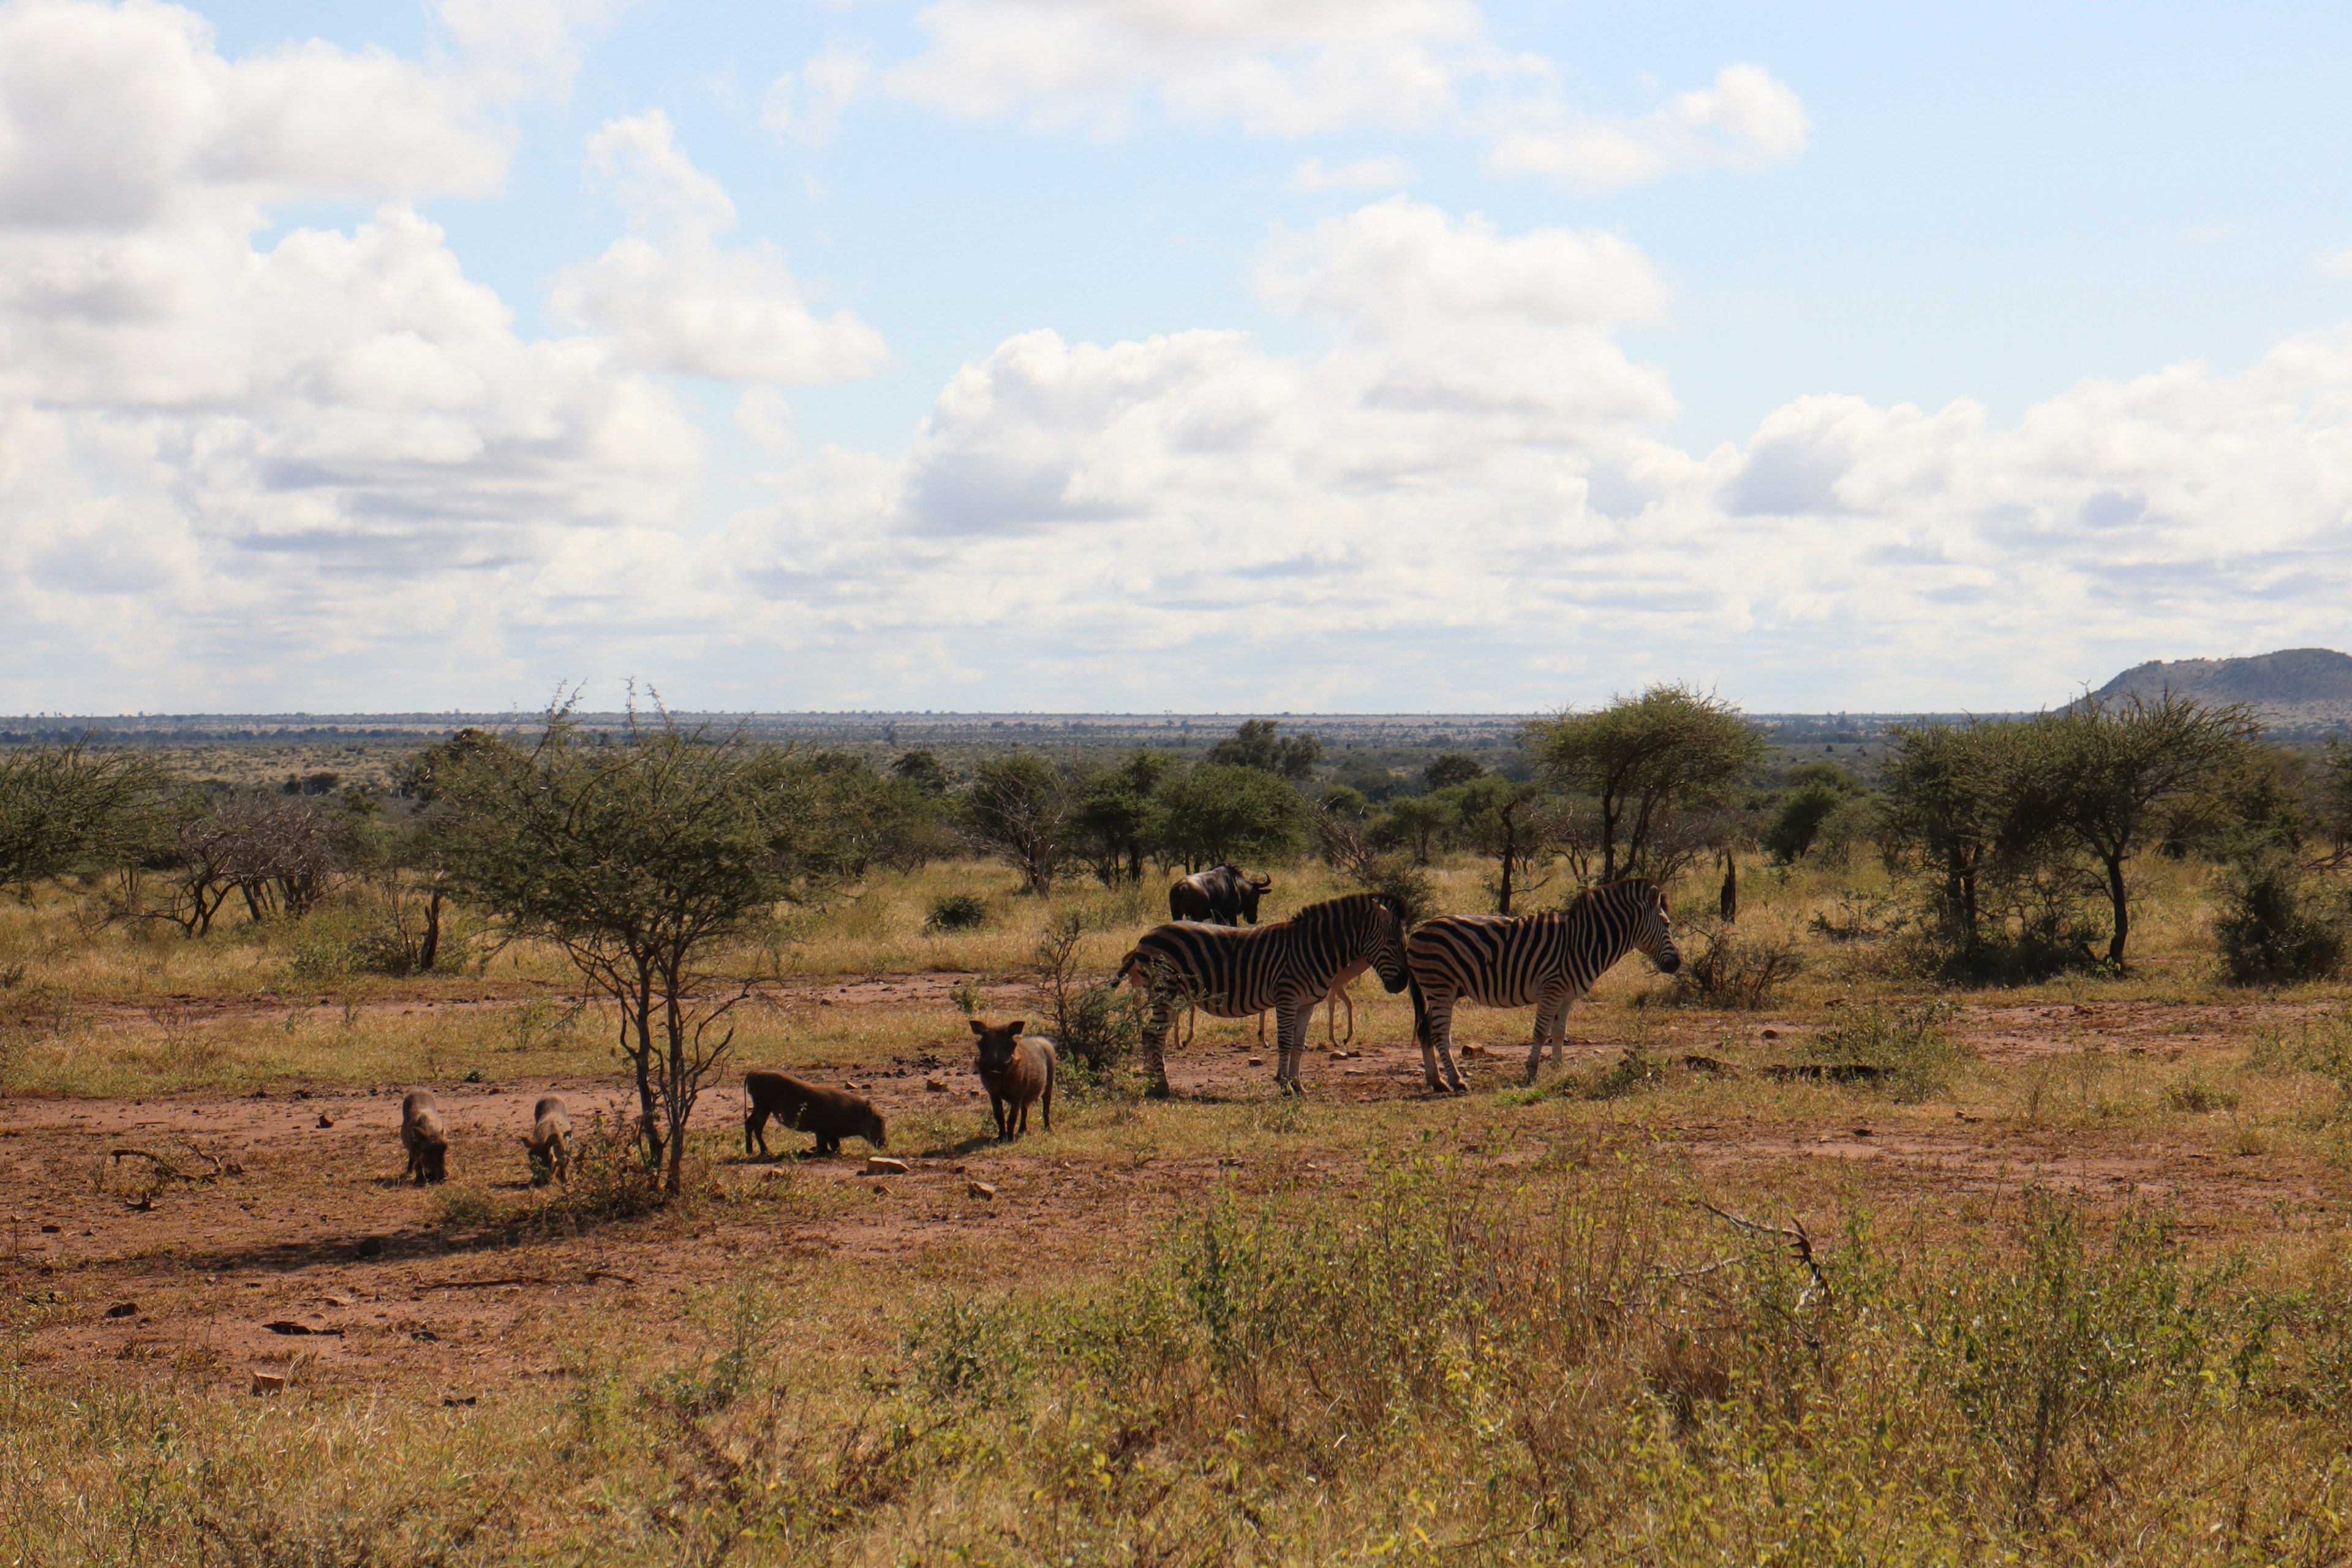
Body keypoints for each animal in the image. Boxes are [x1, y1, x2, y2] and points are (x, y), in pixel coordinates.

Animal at [1124, 888, 1401, 1100]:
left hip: (1175, 995)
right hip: (1165, 990)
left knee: (1153, 1033)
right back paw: (1160, 1087)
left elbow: (1299, 1044)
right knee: (1153, 1034)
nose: (1400, 986)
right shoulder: (1287, 997)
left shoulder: (1307, 1004)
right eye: (1394, 943)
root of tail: (1145, 936)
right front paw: (1284, 1085)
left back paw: (1154, 1084)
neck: (1314, 948)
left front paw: (1298, 1086)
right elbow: (1286, 1042)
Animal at [1401, 884, 1684, 1090]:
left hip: (1441, 990)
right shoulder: (1552, 989)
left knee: (1426, 1030)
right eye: (1667, 924)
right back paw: (1457, 1081)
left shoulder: (1567, 995)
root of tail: (1418, 930)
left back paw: (1437, 1081)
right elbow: (1540, 1032)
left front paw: (1559, 1068)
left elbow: (1559, 1032)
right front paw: (1531, 1071)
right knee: (1439, 1033)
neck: (1584, 942)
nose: (1677, 964)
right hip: (1441, 986)